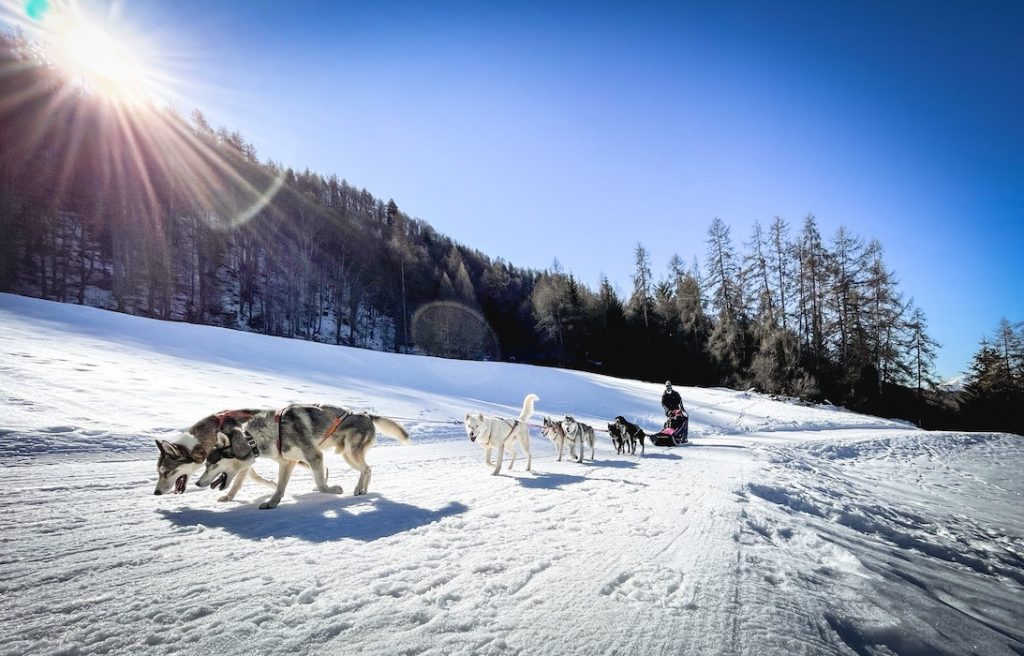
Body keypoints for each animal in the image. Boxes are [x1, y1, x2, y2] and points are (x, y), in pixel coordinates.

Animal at [195, 401, 407, 509]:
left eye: (210, 465)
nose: (197, 483)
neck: (255, 439)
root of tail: (366, 415)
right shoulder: (287, 463)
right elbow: (279, 487)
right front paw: (272, 503)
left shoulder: (315, 456)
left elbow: (322, 485)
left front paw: (335, 489)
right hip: (347, 455)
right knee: (367, 469)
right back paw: (362, 490)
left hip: (349, 453)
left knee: (366, 469)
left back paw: (358, 489)